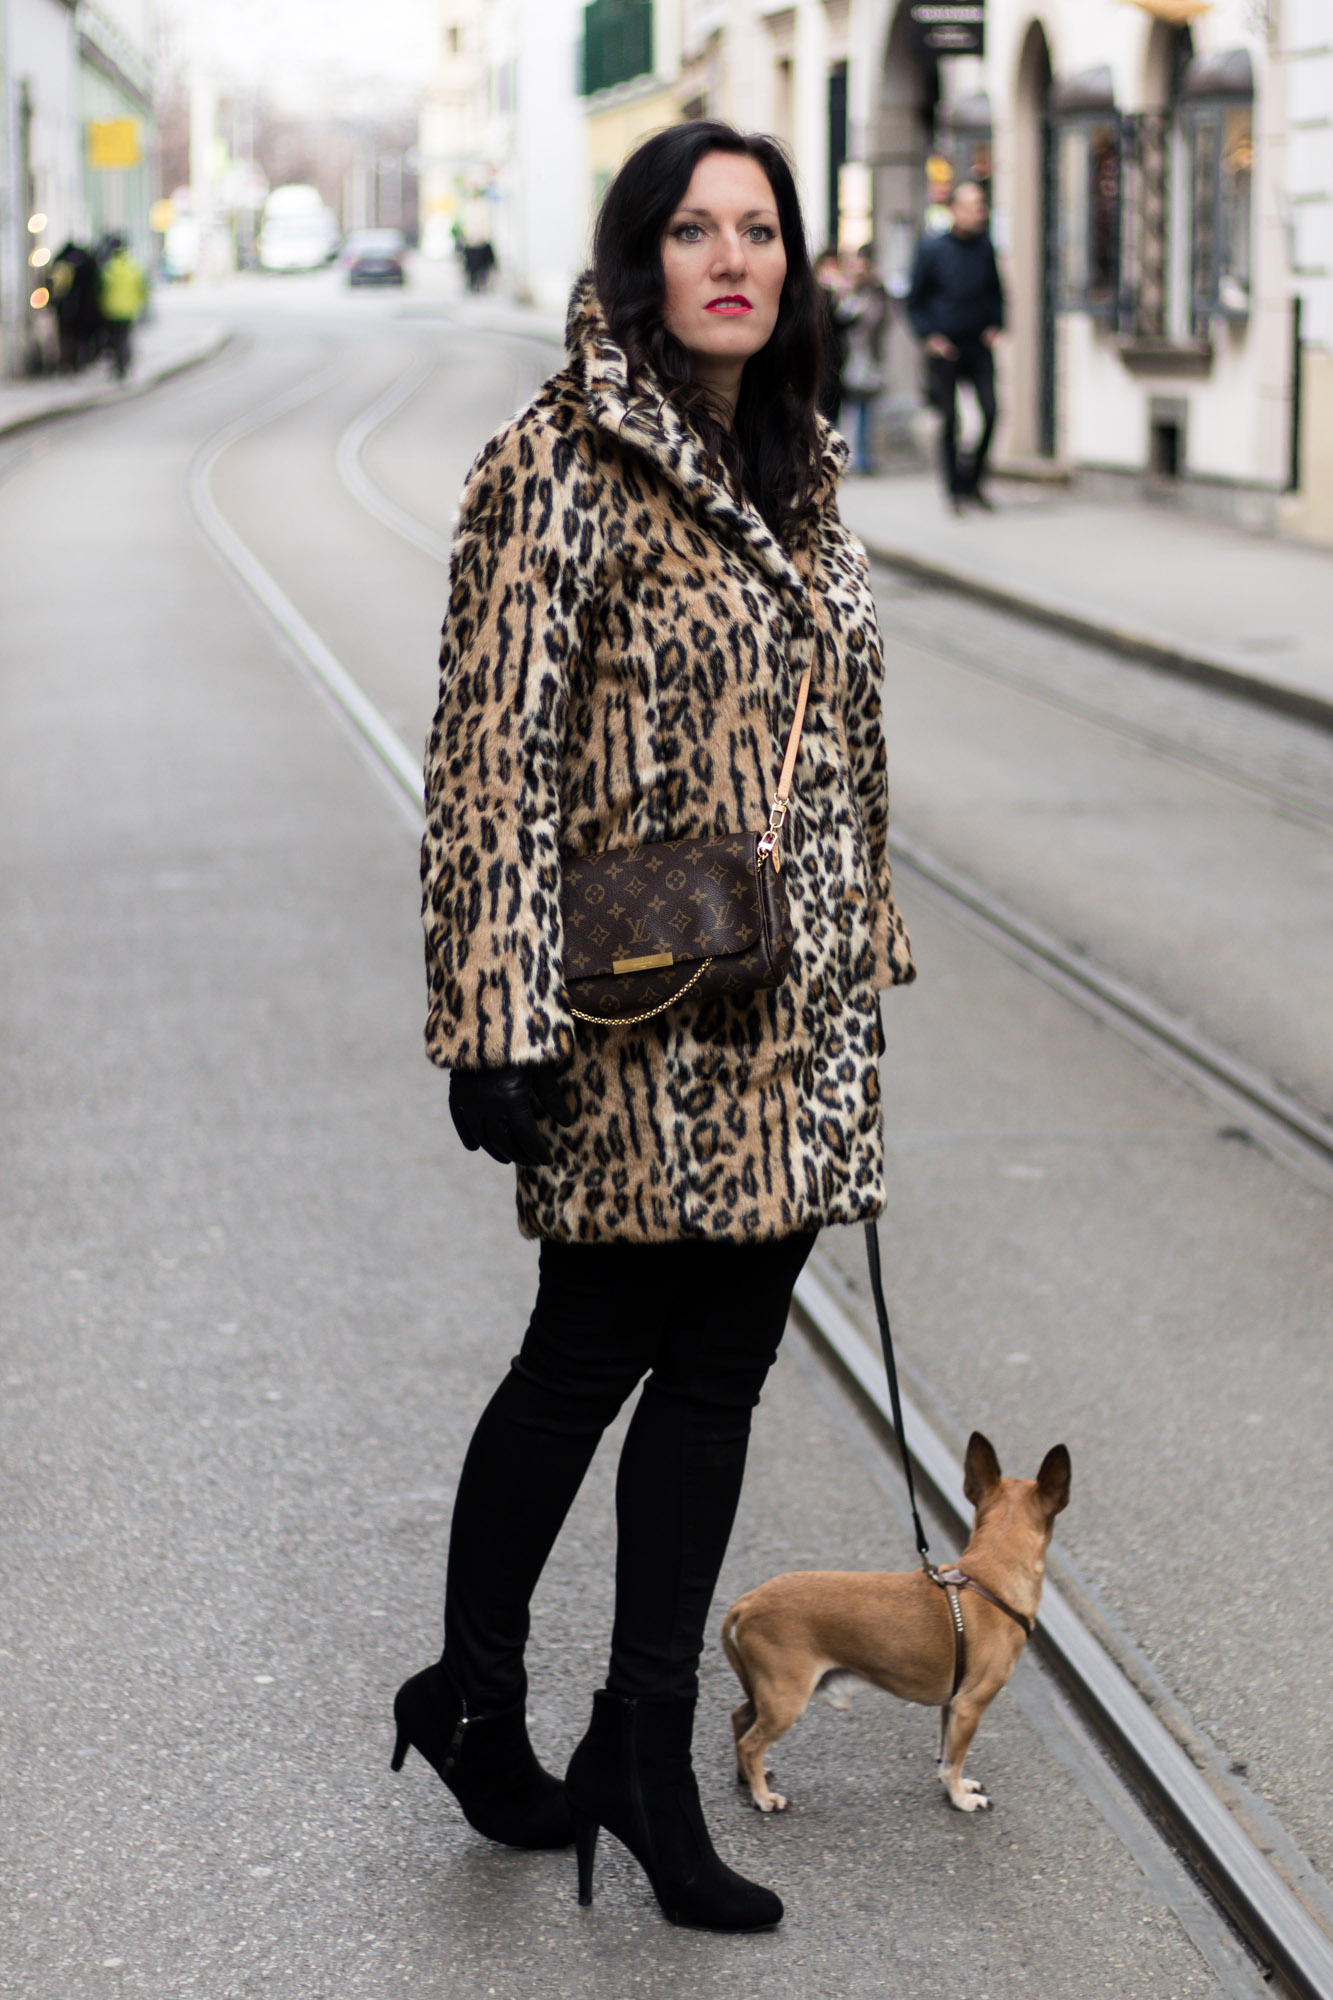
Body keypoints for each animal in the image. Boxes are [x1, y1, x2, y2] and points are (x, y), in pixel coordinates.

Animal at [720, 1432, 1064, 1824]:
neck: (986, 1580)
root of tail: (746, 1602)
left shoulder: (951, 1706)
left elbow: (947, 1754)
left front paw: (957, 1785)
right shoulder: (969, 1706)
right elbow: (954, 1761)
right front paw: (960, 1798)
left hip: (767, 1693)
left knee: (740, 1719)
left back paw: (750, 1778)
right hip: (785, 1700)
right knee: (750, 1742)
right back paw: (763, 1796)